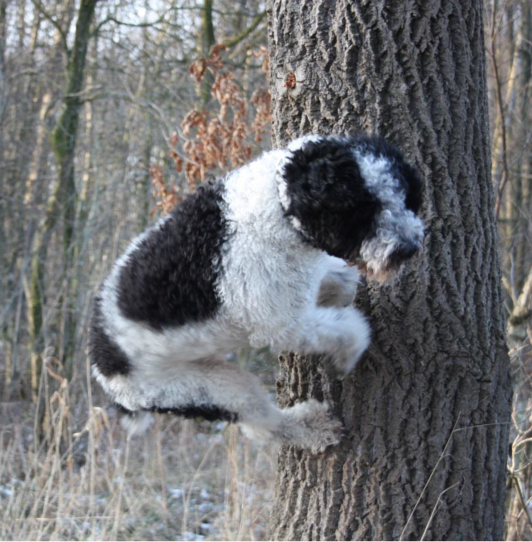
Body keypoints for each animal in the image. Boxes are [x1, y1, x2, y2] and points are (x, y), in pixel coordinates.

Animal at [89, 134, 424, 453]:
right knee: (261, 424)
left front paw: (337, 289)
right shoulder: (286, 324)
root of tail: (102, 361)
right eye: (363, 209)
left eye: (402, 194)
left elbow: (337, 280)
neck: (279, 204)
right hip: (199, 389)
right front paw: (347, 355)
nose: (408, 248)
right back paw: (313, 428)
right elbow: (348, 329)